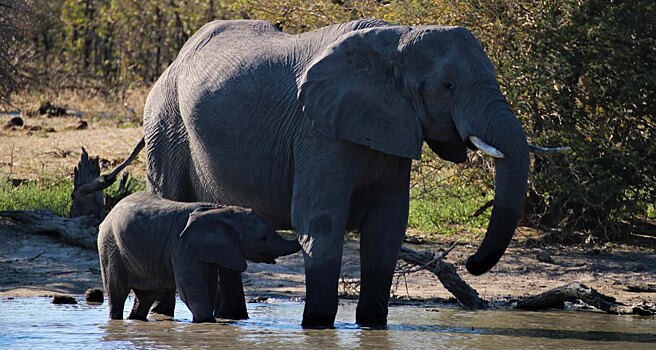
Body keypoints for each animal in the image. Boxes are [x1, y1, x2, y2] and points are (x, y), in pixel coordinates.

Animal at [98, 191, 302, 322]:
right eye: (263, 238)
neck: (221, 210)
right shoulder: (181, 246)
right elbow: (192, 288)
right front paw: (207, 322)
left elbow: (210, 288)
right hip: (109, 245)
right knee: (117, 293)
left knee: (146, 296)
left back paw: (136, 320)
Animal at [142, 18, 528, 326]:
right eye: (447, 86)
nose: (472, 264)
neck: (397, 41)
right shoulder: (317, 131)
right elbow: (321, 221)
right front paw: (316, 326)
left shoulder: (393, 130)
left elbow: (387, 227)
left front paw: (372, 326)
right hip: (165, 121)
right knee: (170, 205)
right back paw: (163, 316)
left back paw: (232, 318)